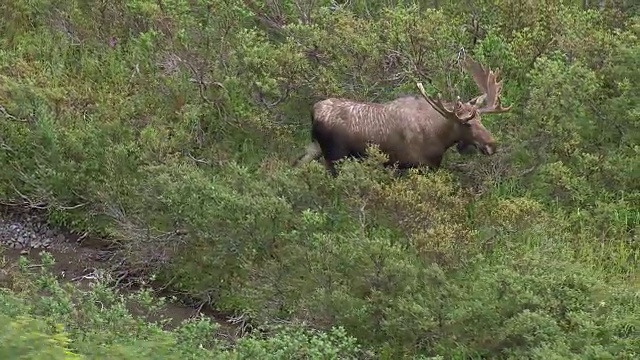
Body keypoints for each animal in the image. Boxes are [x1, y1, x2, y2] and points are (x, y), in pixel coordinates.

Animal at [294, 56, 510, 177]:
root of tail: (314, 111)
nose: (492, 145)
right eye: (467, 124)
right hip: (335, 156)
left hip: (314, 148)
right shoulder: (422, 165)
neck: (441, 136)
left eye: (480, 120)